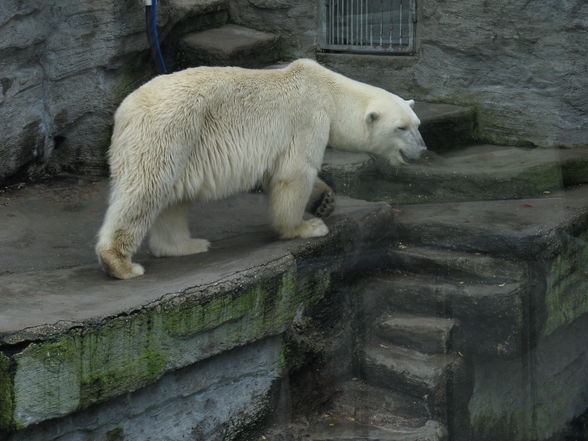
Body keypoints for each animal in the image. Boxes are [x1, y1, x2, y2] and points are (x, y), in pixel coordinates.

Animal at [96, 58, 428, 278]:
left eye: (417, 124)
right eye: (400, 128)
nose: (422, 150)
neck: (329, 91)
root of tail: (125, 109)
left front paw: (324, 201)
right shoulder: (308, 119)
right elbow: (294, 173)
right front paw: (306, 227)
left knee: (172, 199)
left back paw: (186, 245)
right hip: (169, 130)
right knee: (146, 190)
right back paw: (121, 264)